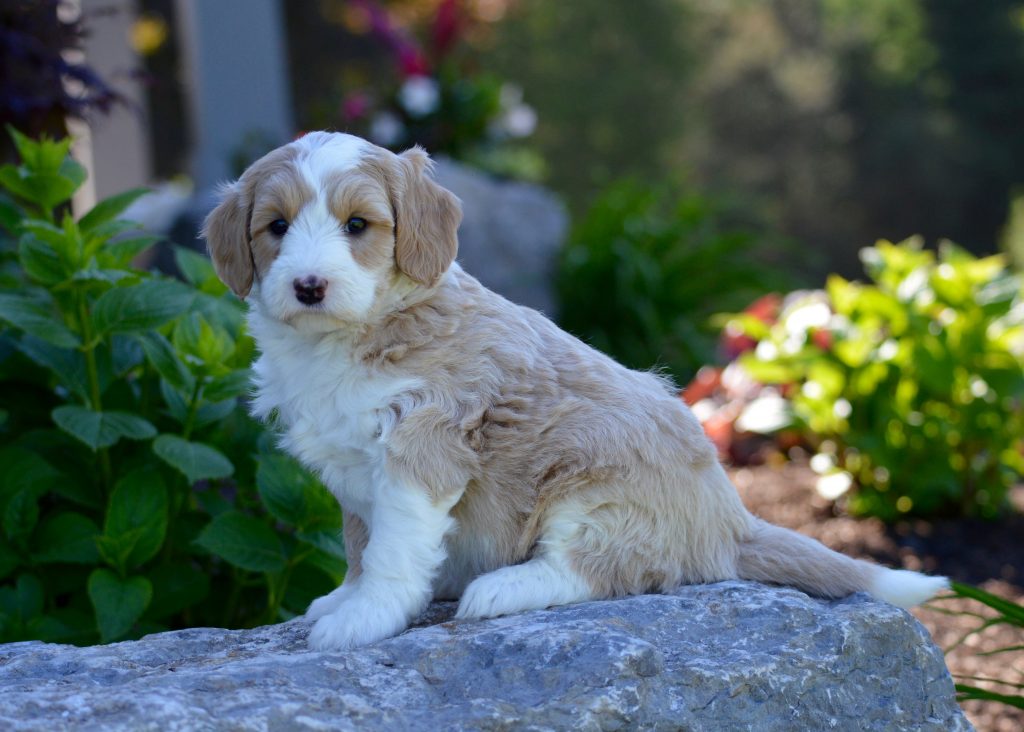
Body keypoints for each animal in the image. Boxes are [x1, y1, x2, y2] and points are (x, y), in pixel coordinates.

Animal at [203, 133, 946, 651]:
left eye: (357, 225)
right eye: (276, 227)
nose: (309, 286)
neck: (354, 334)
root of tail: (731, 523)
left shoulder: (424, 445)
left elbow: (390, 551)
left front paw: (364, 619)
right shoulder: (353, 470)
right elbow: (360, 544)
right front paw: (342, 599)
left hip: (596, 483)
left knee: (596, 569)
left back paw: (502, 588)